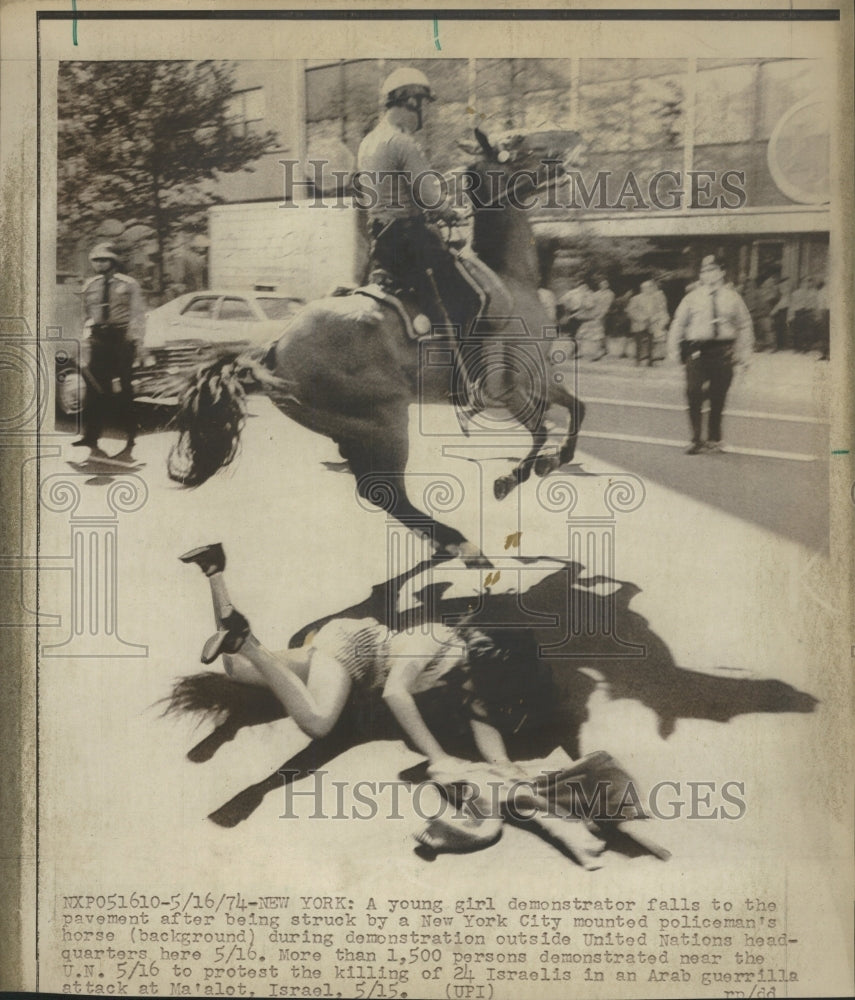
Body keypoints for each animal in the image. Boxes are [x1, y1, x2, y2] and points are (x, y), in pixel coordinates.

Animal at [168, 127, 588, 564]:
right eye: (519, 143)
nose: (568, 152)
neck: (510, 278)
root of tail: (273, 349)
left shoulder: (539, 376)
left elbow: (577, 409)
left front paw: (555, 461)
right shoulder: (506, 388)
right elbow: (541, 431)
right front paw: (511, 478)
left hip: (355, 430)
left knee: (379, 492)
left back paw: (447, 541)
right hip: (387, 421)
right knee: (387, 492)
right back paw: (462, 544)